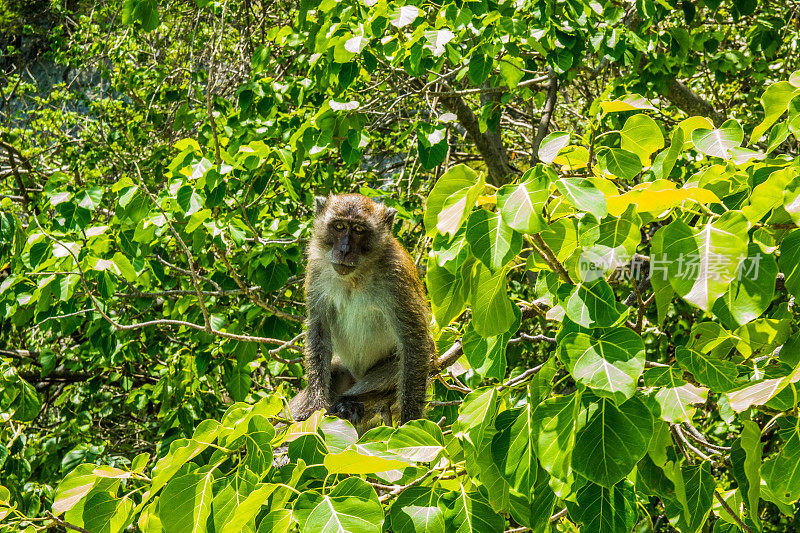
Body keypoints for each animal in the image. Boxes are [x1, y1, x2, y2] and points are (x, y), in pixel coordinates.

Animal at [288, 193, 434, 426]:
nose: (344, 250)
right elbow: (319, 330)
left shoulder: (396, 275)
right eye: (339, 226)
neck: (355, 276)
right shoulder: (317, 266)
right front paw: (314, 405)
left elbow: (415, 342)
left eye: (358, 230)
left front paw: (410, 419)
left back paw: (352, 402)